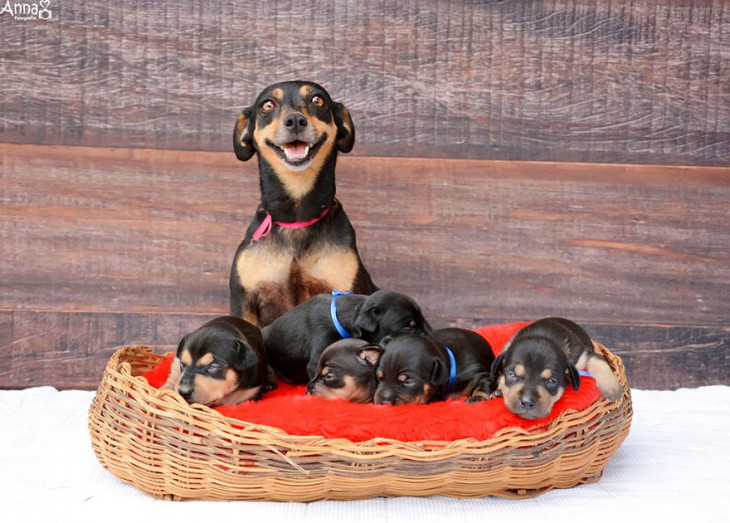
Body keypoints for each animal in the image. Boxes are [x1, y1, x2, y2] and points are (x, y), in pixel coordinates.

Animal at [480, 318, 624, 420]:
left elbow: (600, 362)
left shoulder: (584, 354)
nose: (527, 402)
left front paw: (612, 389)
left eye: (551, 381)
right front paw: (499, 391)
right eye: (512, 375)